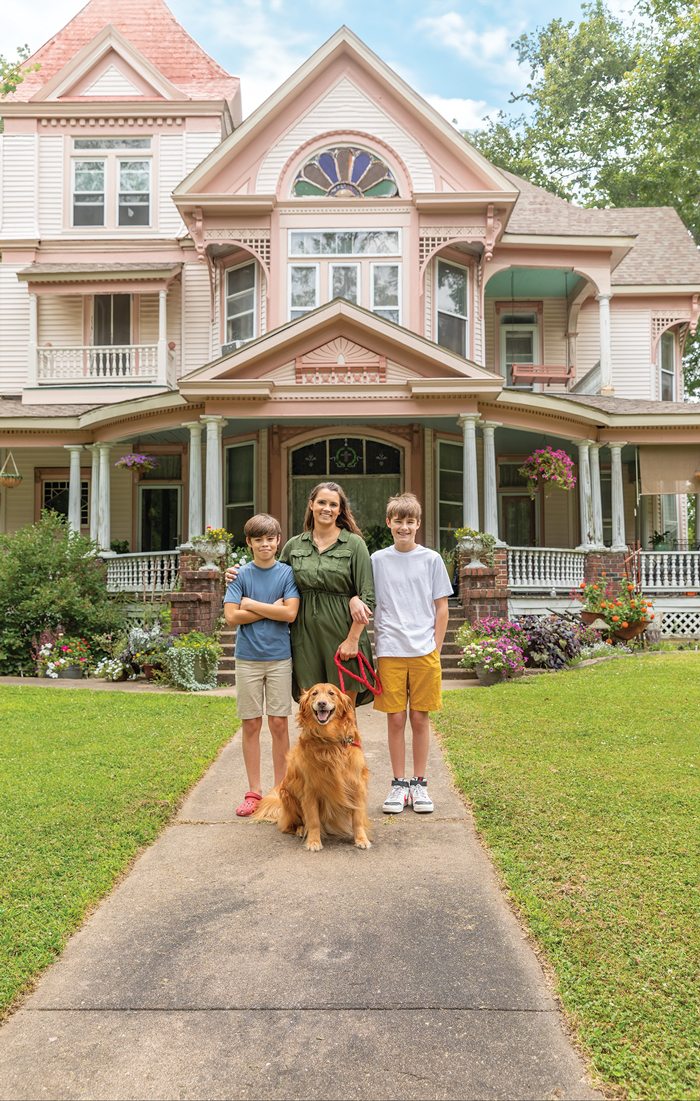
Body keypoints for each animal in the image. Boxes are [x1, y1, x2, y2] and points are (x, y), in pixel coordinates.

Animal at [253, 687, 372, 849]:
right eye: (314, 693)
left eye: (331, 693)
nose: (321, 703)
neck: (329, 741)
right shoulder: (310, 790)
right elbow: (313, 820)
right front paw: (314, 842)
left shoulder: (357, 786)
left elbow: (358, 818)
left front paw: (361, 839)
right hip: (287, 795)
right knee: (291, 825)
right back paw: (301, 829)